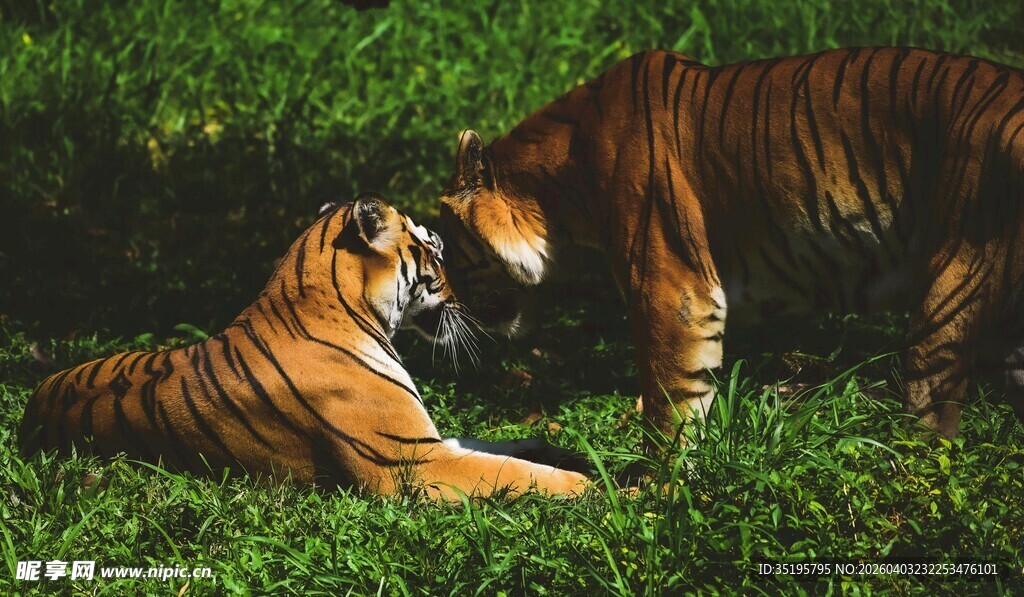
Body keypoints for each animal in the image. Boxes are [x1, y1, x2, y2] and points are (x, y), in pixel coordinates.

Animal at [19, 193, 590, 500]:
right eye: (435, 248)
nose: (469, 296)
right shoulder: (410, 461)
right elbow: (507, 471)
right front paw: (583, 486)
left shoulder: (424, 440)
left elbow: (496, 446)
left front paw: (571, 454)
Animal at [437, 47, 1024, 443]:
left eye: (446, 249)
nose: (443, 305)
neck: (560, 191)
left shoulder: (672, 287)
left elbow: (671, 401)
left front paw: (661, 492)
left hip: (950, 292)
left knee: (934, 422)